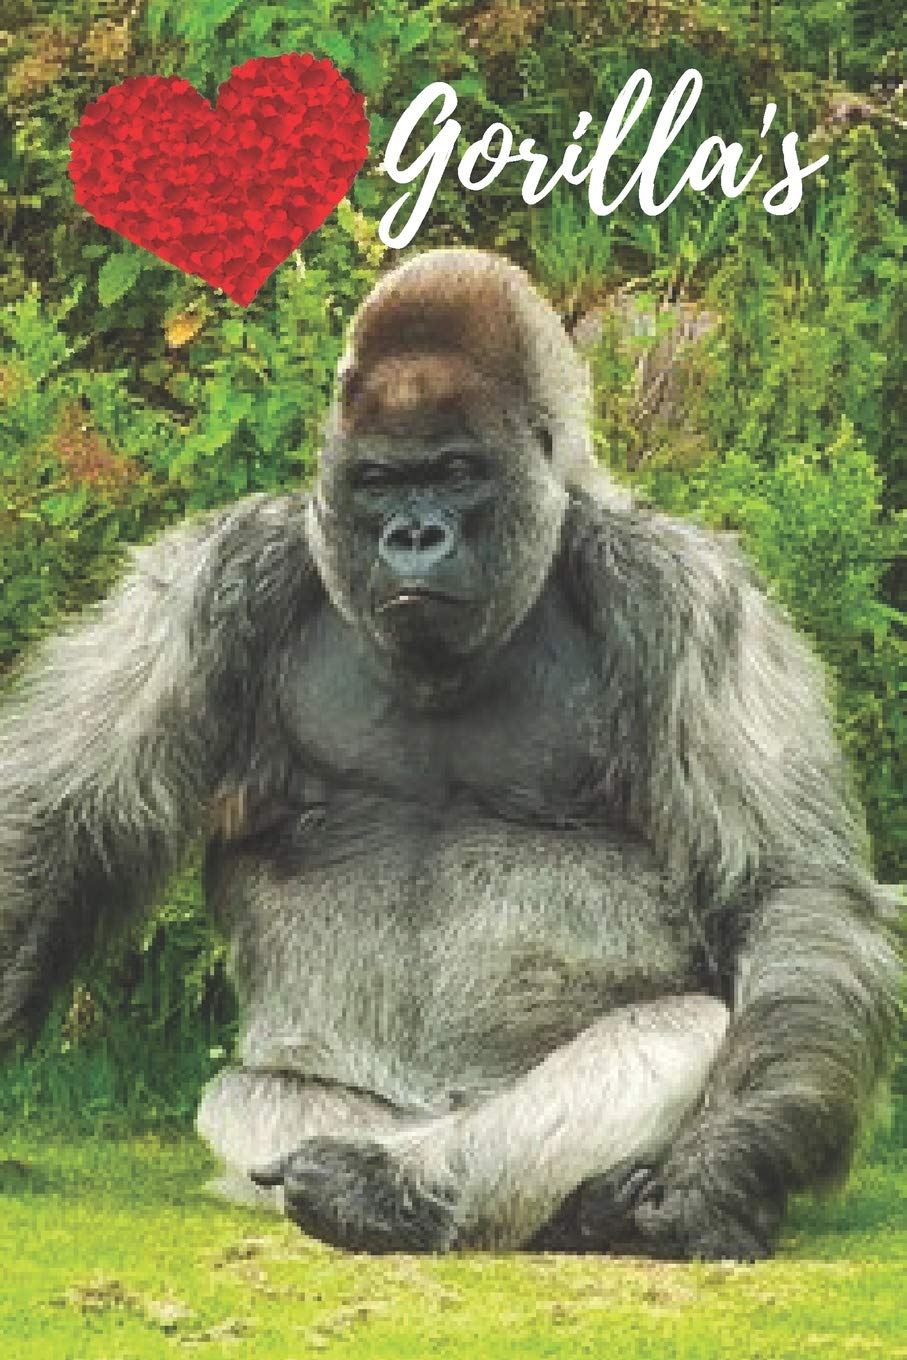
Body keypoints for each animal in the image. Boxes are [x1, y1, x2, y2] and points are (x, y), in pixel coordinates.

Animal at [0, 249, 898, 1260]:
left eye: (456, 472)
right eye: (379, 482)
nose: (415, 535)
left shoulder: (689, 595)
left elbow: (787, 891)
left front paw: (722, 1168)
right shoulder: (209, 581)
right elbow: (56, 821)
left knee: (679, 1031)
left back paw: (406, 1190)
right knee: (252, 1096)